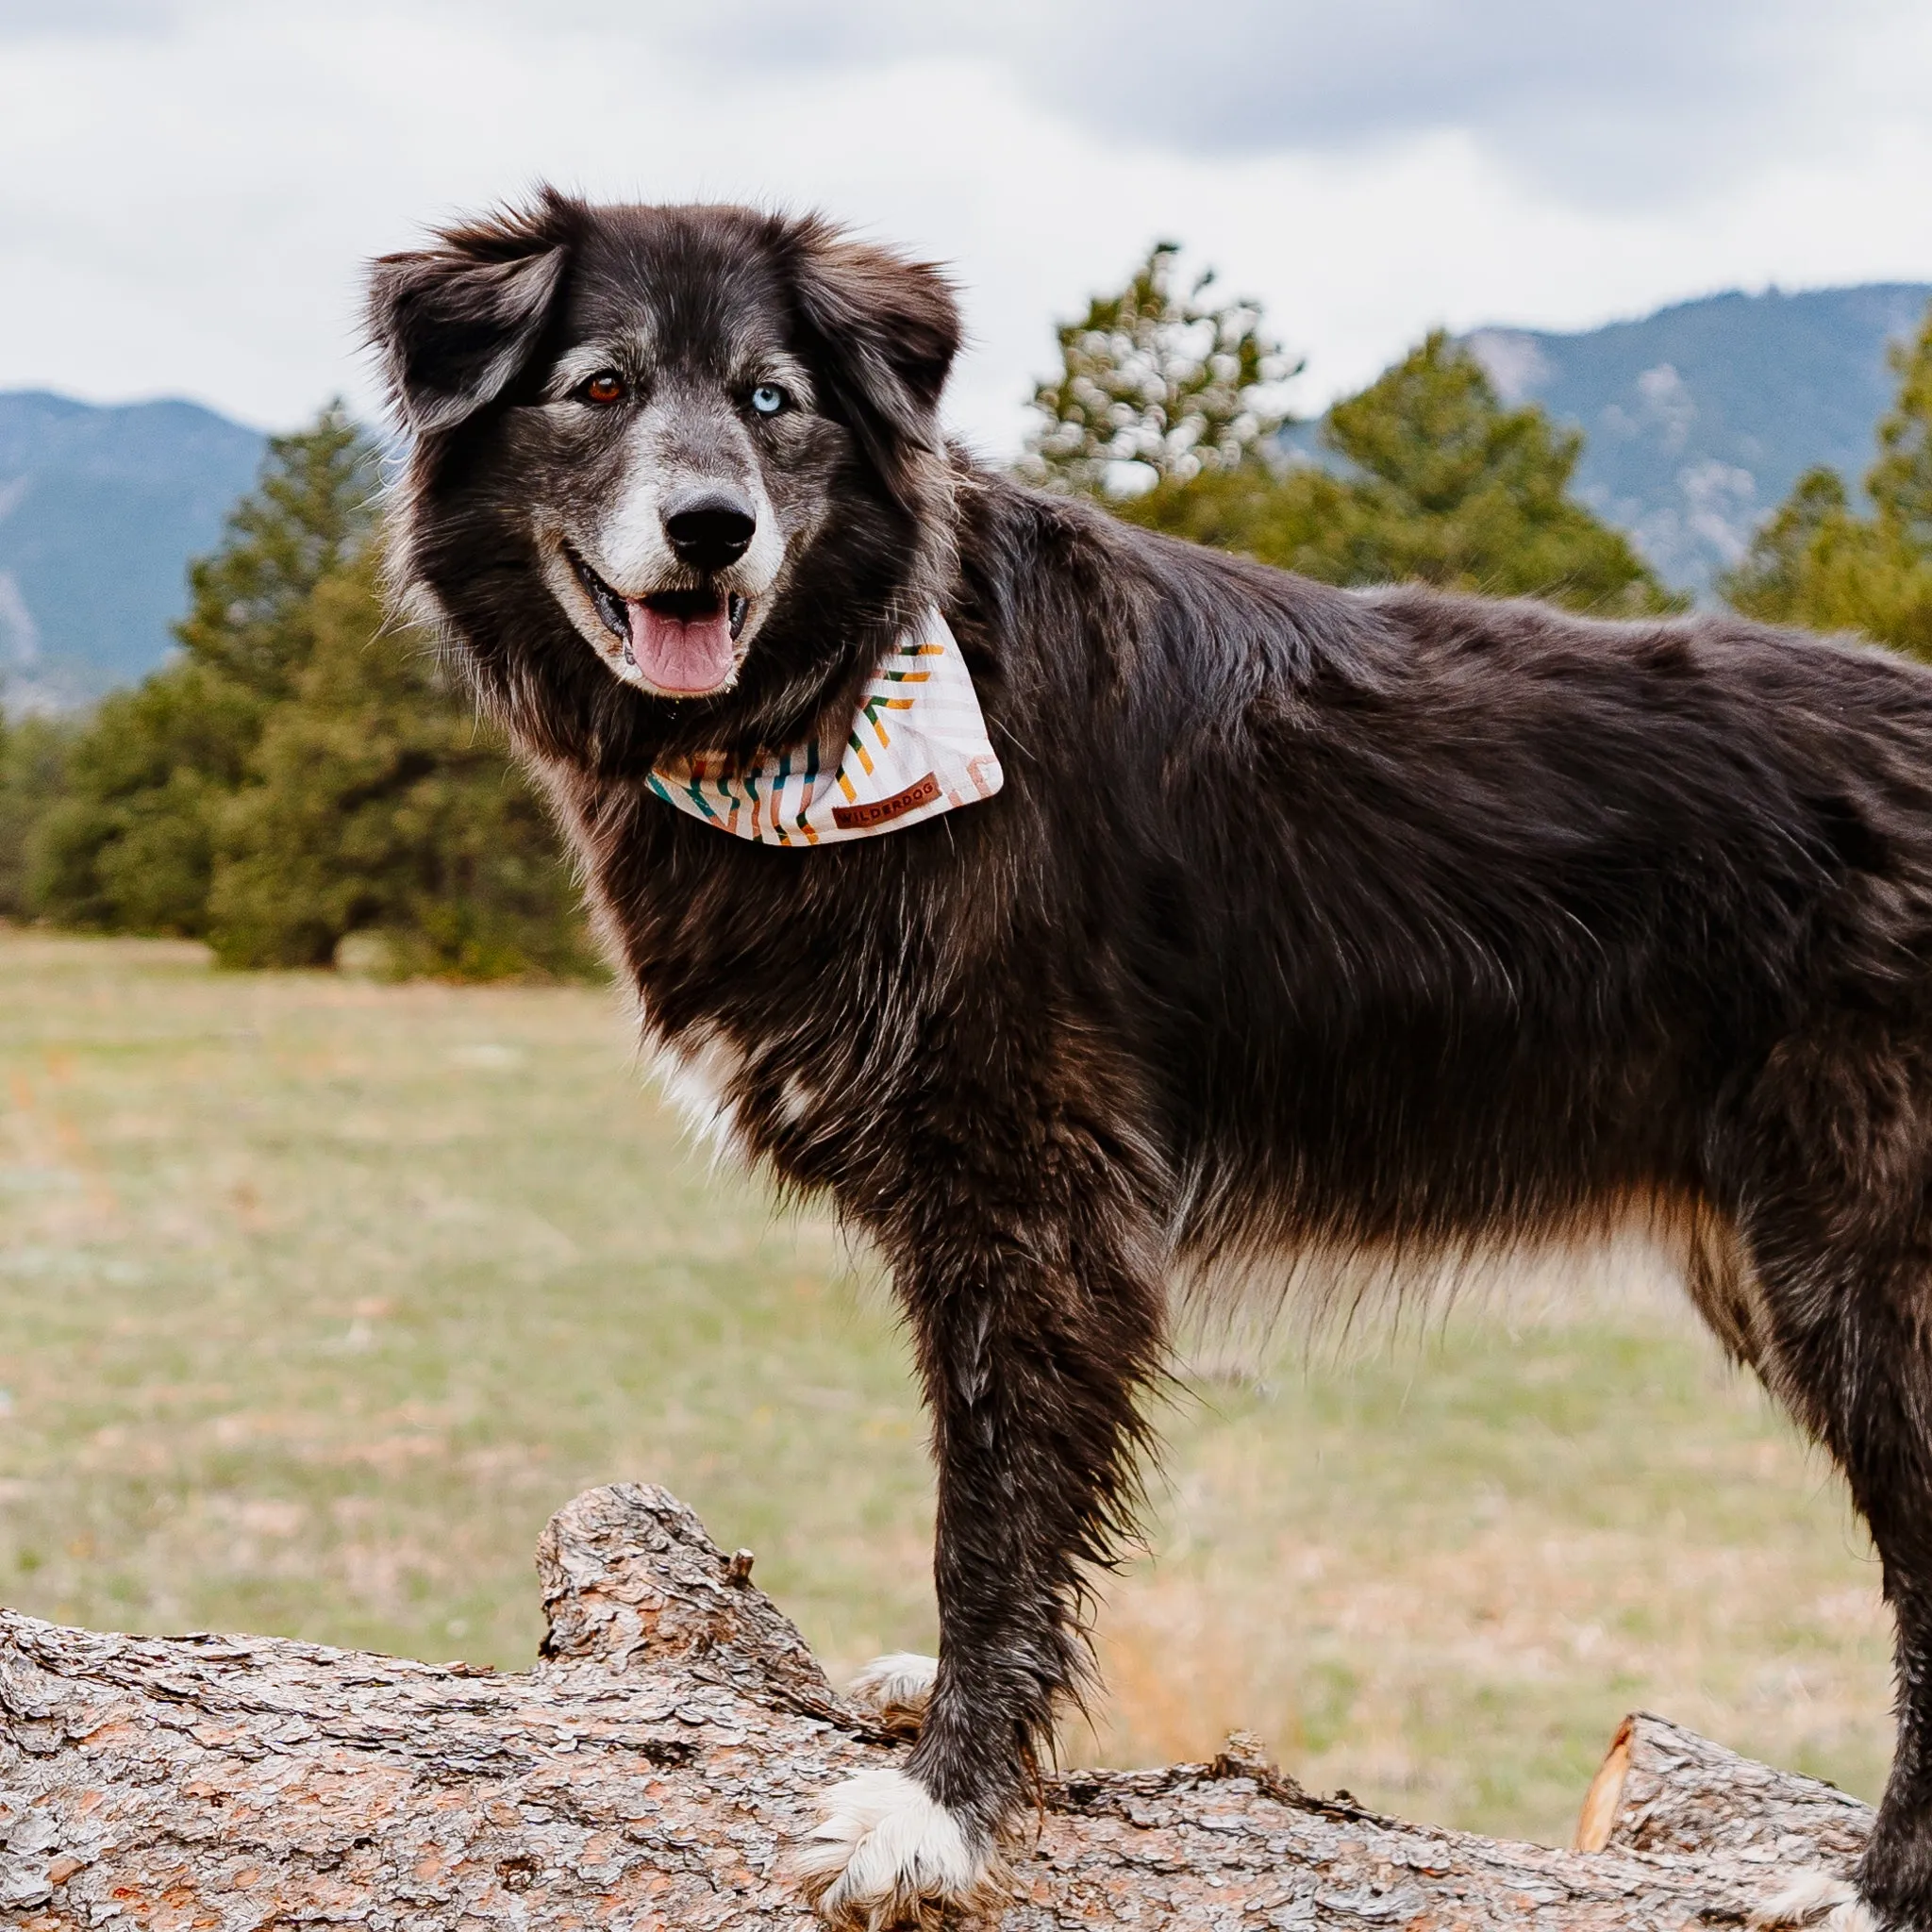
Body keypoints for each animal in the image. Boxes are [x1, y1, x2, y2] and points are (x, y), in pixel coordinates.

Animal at [373, 192, 1932, 1932]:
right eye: (598, 388)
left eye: (774, 400)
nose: (713, 529)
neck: (846, 693)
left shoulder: (1036, 1199)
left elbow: (990, 1522)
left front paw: (942, 1812)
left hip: (1854, 1274)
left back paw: (1879, 1885)